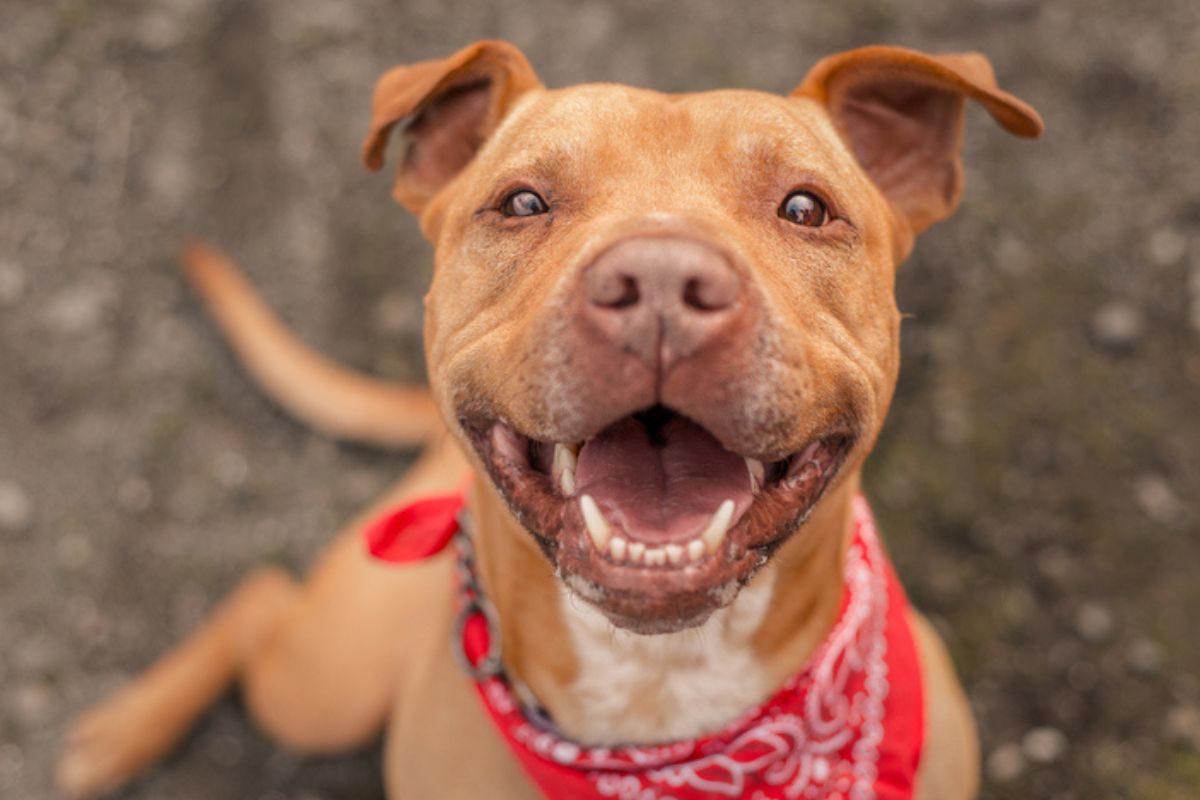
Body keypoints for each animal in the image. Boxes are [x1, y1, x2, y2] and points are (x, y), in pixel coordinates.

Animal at [56, 38, 1036, 800]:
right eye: (522, 201)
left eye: (805, 207)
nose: (661, 284)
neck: (659, 689)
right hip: (327, 683)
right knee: (260, 601)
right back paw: (119, 733)